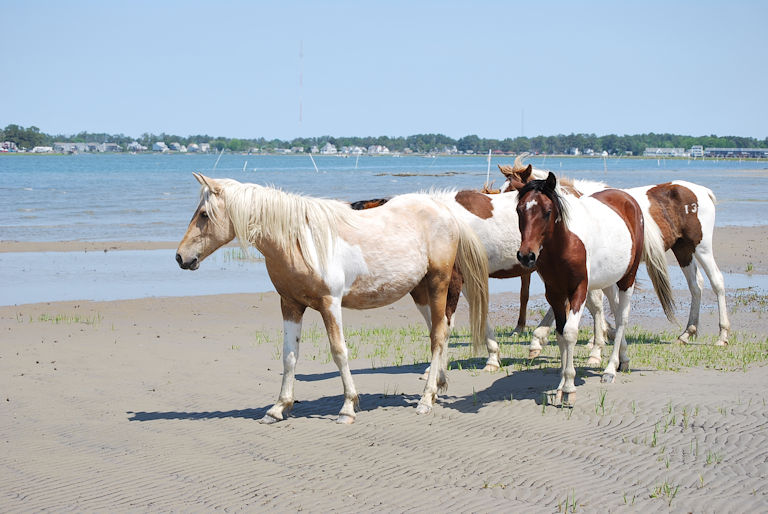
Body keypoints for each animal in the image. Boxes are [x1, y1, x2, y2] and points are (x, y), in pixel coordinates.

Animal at [177, 174, 488, 422]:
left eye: (203, 214)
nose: (181, 257)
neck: (300, 241)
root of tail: (444, 209)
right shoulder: (290, 305)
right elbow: (289, 355)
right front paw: (278, 408)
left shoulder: (330, 304)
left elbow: (339, 351)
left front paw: (347, 407)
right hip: (420, 291)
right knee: (441, 332)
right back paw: (437, 387)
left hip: (438, 283)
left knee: (437, 336)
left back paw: (425, 400)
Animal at [500, 154, 728, 352]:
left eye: (511, 192)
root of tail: (702, 191)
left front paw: (598, 336)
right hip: (683, 250)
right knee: (696, 285)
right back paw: (687, 333)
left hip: (701, 247)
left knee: (717, 281)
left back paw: (722, 335)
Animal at [516, 173, 672, 404]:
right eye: (519, 210)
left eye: (547, 211)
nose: (526, 255)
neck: (565, 244)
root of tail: (629, 199)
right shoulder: (554, 293)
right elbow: (560, 334)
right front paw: (561, 385)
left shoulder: (579, 290)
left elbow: (570, 333)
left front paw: (569, 388)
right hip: (609, 281)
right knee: (615, 310)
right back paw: (623, 359)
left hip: (627, 278)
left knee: (622, 318)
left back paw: (610, 370)